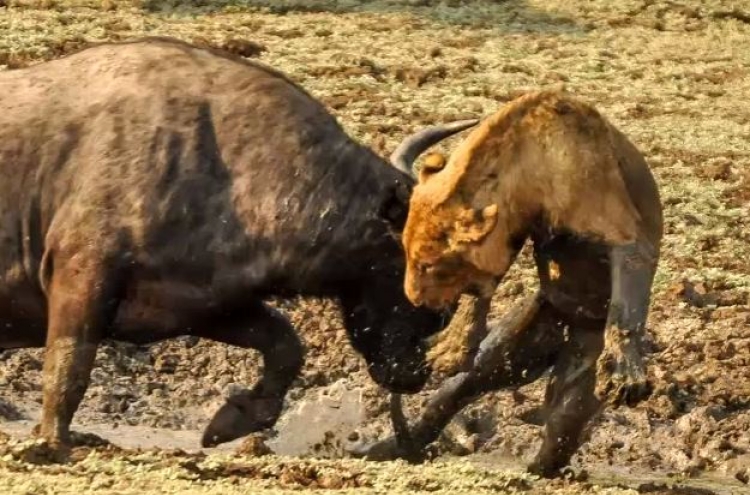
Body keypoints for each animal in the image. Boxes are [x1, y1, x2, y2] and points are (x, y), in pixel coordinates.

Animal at [0, 35, 478, 458]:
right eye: (424, 263)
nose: (417, 373)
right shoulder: (84, 274)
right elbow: (69, 366)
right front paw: (51, 443)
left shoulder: (200, 303)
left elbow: (285, 345)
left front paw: (234, 419)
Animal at [356, 91, 668, 478]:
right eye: (406, 249)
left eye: (430, 264)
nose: (414, 299)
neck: (538, 168)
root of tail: (573, 324)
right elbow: (481, 294)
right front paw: (451, 349)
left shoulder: (624, 237)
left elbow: (626, 308)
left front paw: (627, 378)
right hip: (512, 351)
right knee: (457, 393)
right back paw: (385, 448)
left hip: (575, 367)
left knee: (562, 425)